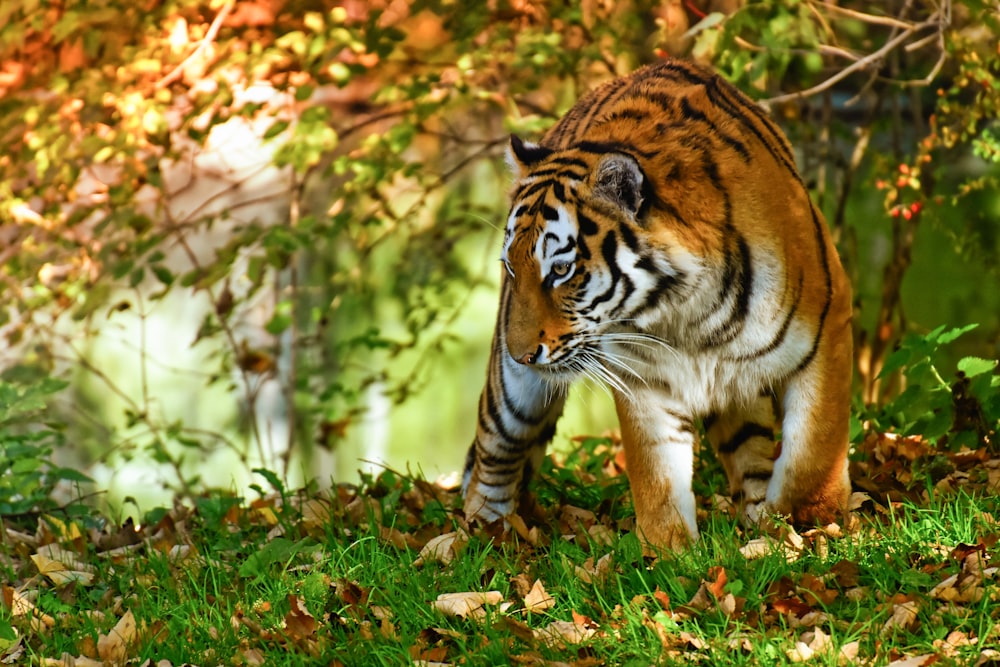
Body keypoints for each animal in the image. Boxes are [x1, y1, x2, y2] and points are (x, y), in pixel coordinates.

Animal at [460, 57, 852, 552]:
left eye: (561, 270)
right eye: (512, 267)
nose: (521, 353)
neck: (687, 313)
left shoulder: (827, 329)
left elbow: (814, 451)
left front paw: (808, 522)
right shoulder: (641, 377)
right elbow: (658, 477)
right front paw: (671, 553)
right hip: (512, 397)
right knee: (493, 454)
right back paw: (481, 537)